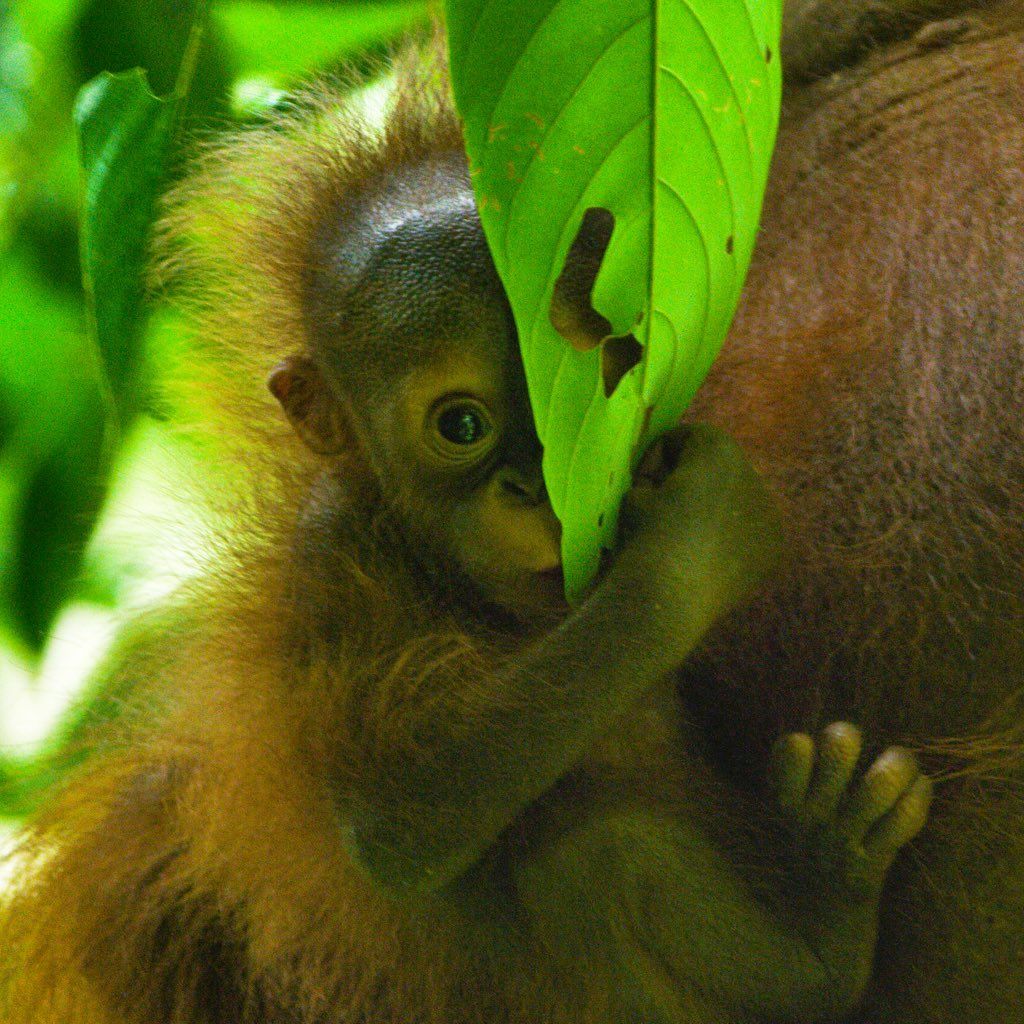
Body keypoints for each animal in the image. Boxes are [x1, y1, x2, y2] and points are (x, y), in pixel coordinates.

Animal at [4, 0, 1024, 1021]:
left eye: (610, 366)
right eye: (462, 423)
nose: (542, 486)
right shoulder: (330, 556)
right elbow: (398, 823)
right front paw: (705, 540)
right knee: (593, 864)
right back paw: (826, 920)